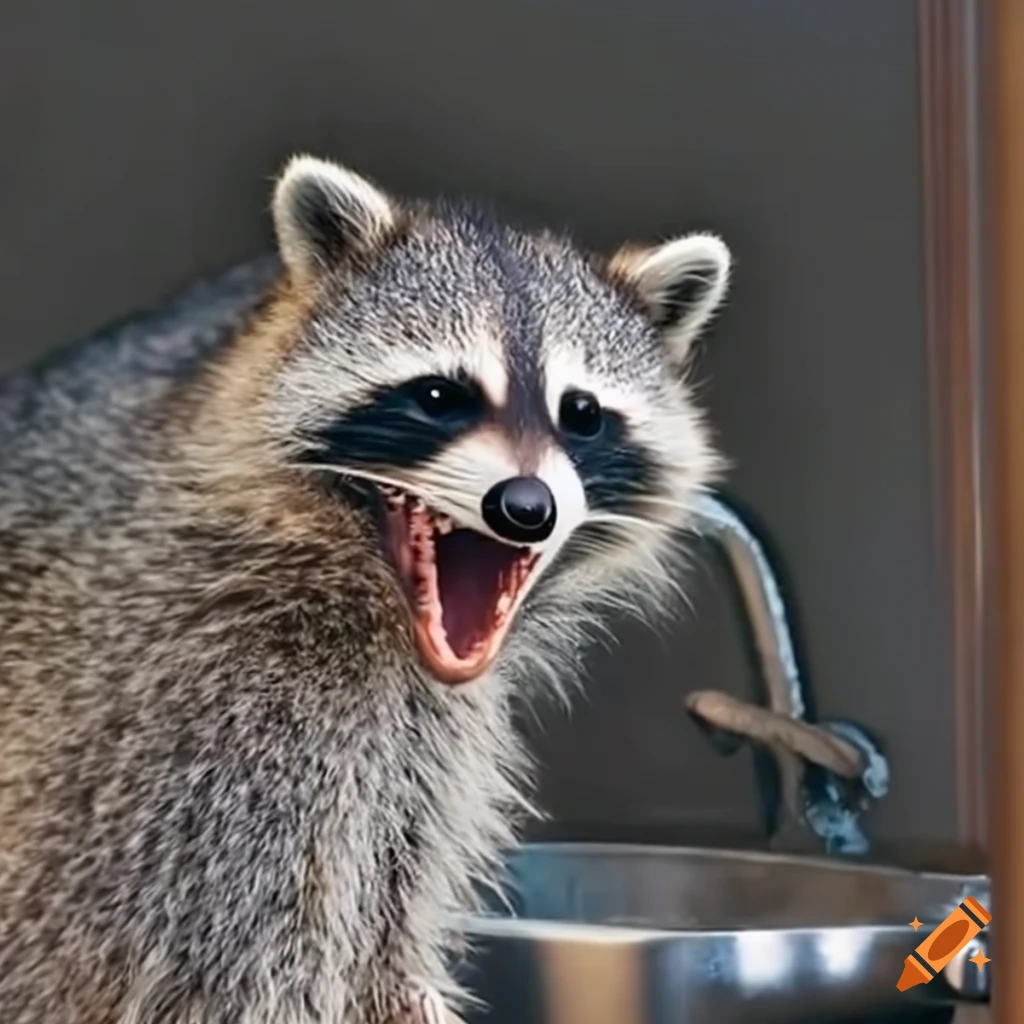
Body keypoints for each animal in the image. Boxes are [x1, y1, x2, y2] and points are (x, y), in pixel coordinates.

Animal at [0, 155, 731, 1024]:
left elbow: (388, 930)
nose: (525, 507)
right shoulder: (212, 722)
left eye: (580, 413)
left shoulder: (420, 742)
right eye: (441, 396)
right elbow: (244, 972)